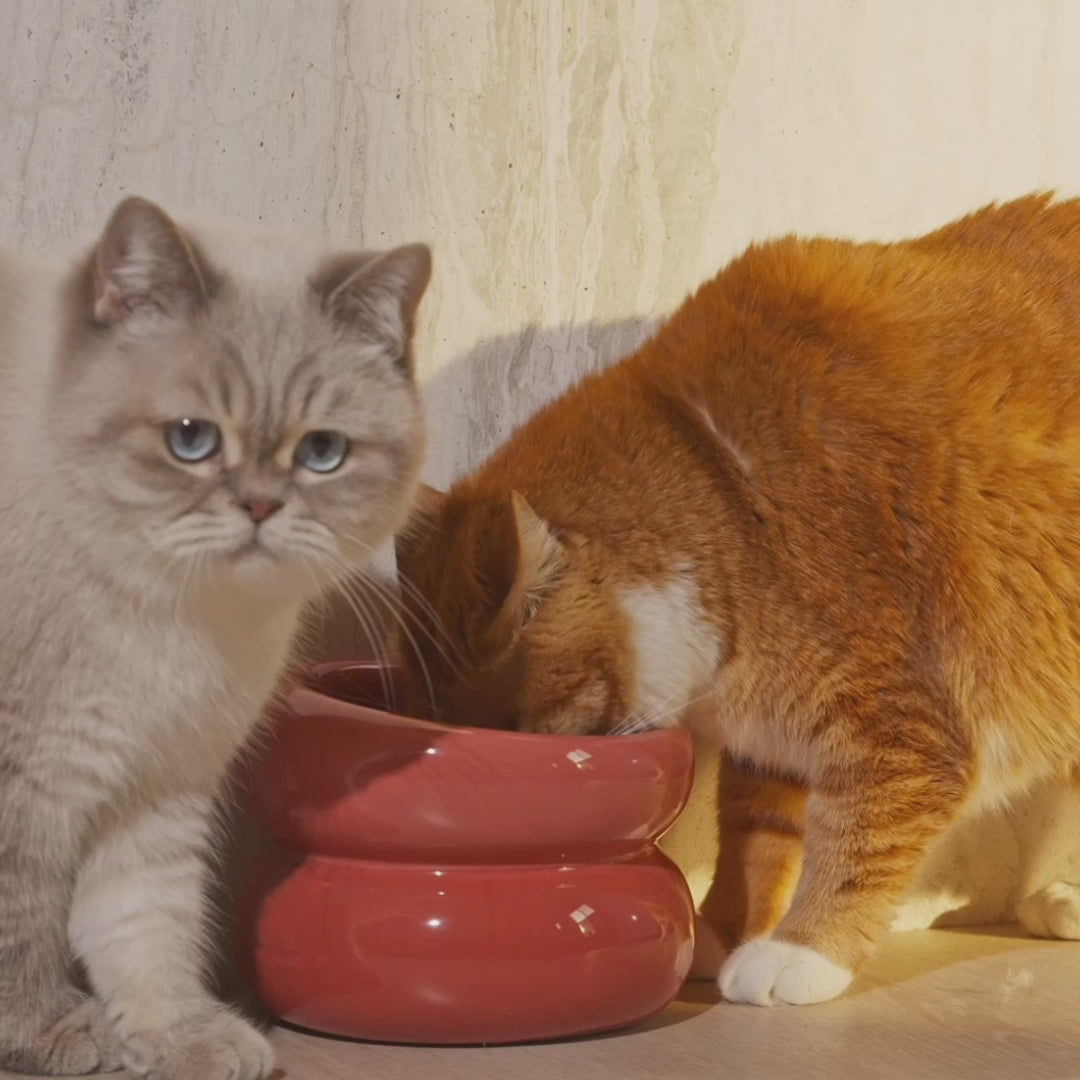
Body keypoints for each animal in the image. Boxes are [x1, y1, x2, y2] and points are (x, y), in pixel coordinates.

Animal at [0, 198, 429, 1075]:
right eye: (191, 440)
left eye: (322, 452)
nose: (261, 507)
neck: (177, 616)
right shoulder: (30, 777)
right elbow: (20, 921)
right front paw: (53, 1031)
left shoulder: (157, 781)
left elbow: (148, 928)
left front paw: (180, 1038)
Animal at [397, 196, 1080, 1002]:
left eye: (519, 733)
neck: (723, 483)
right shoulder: (772, 739)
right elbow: (755, 835)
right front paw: (724, 927)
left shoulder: (900, 727)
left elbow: (857, 833)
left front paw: (803, 950)